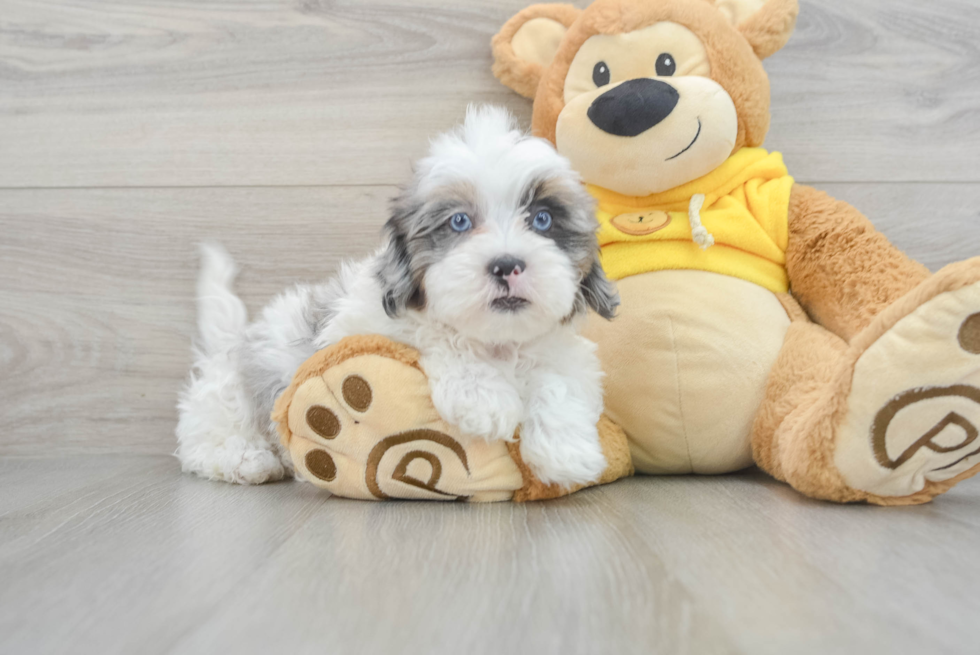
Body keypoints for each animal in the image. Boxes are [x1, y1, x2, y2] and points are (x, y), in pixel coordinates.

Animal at [174, 106, 620, 486]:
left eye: (543, 219)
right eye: (459, 222)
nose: (506, 263)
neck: (496, 342)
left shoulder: (563, 352)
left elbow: (558, 378)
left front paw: (566, 451)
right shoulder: (358, 328)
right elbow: (434, 333)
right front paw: (483, 397)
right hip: (230, 394)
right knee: (209, 435)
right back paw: (248, 459)